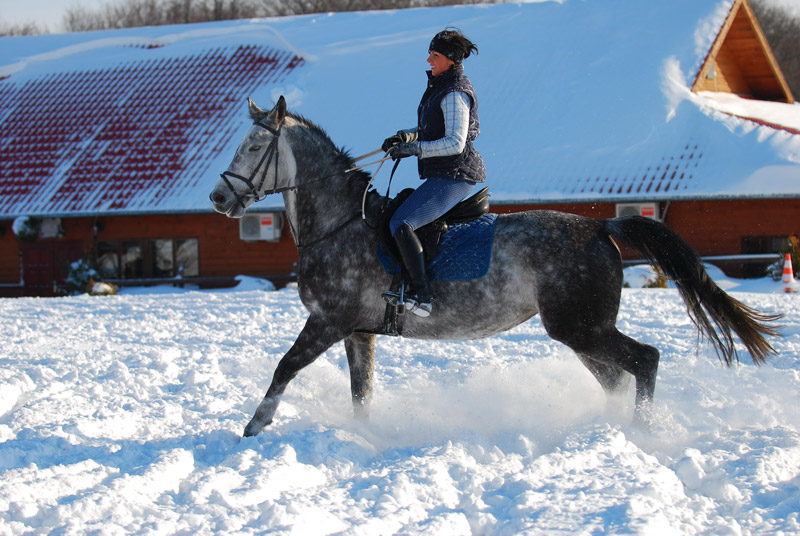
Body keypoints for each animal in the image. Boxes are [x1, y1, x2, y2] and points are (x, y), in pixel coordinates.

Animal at [209, 97, 780, 440]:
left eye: (254, 146)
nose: (218, 198)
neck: (339, 223)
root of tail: (601, 229)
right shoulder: (358, 332)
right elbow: (361, 392)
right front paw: (369, 435)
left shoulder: (328, 321)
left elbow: (285, 367)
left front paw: (255, 426)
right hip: (582, 331)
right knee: (618, 376)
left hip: (581, 327)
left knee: (646, 360)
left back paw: (640, 431)